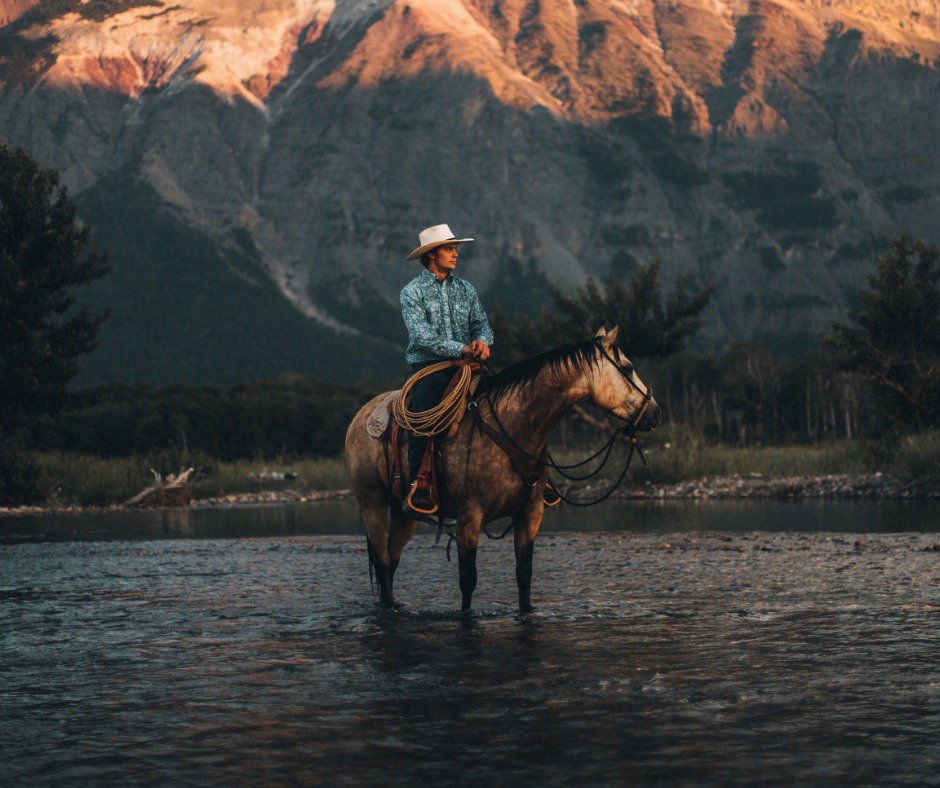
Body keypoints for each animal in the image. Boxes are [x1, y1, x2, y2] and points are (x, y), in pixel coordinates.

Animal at [344, 324, 660, 612]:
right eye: (629, 367)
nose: (656, 412)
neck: (511, 427)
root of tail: (361, 414)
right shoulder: (469, 517)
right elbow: (468, 580)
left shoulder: (530, 514)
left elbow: (524, 575)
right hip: (372, 502)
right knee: (382, 559)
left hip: (403, 511)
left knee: (392, 558)